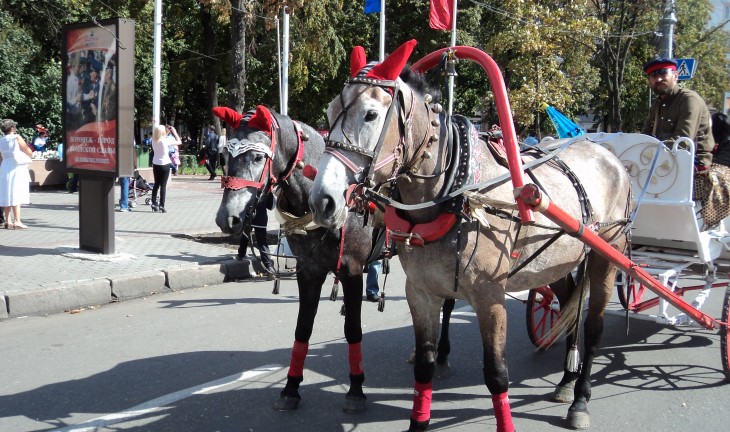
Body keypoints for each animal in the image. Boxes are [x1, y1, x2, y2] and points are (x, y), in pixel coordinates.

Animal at [209, 104, 376, 412]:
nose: (227, 218)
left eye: (258, 156)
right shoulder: (308, 271)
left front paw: (356, 389)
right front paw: (290, 389)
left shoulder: (352, 270)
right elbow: (302, 329)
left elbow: (353, 329)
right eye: (224, 157)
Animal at [306, 38, 632, 430]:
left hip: (606, 255)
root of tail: (607, 153)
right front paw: (419, 419)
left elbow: (496, 374)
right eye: (329, 113)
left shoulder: (491, 298)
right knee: (569, 305)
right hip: (554, 264)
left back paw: (580, 398)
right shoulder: (421, 292)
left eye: (370, 115)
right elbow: (425, 365)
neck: (455, 193)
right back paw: (567, 381)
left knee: (594, 326)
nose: (322, 200)